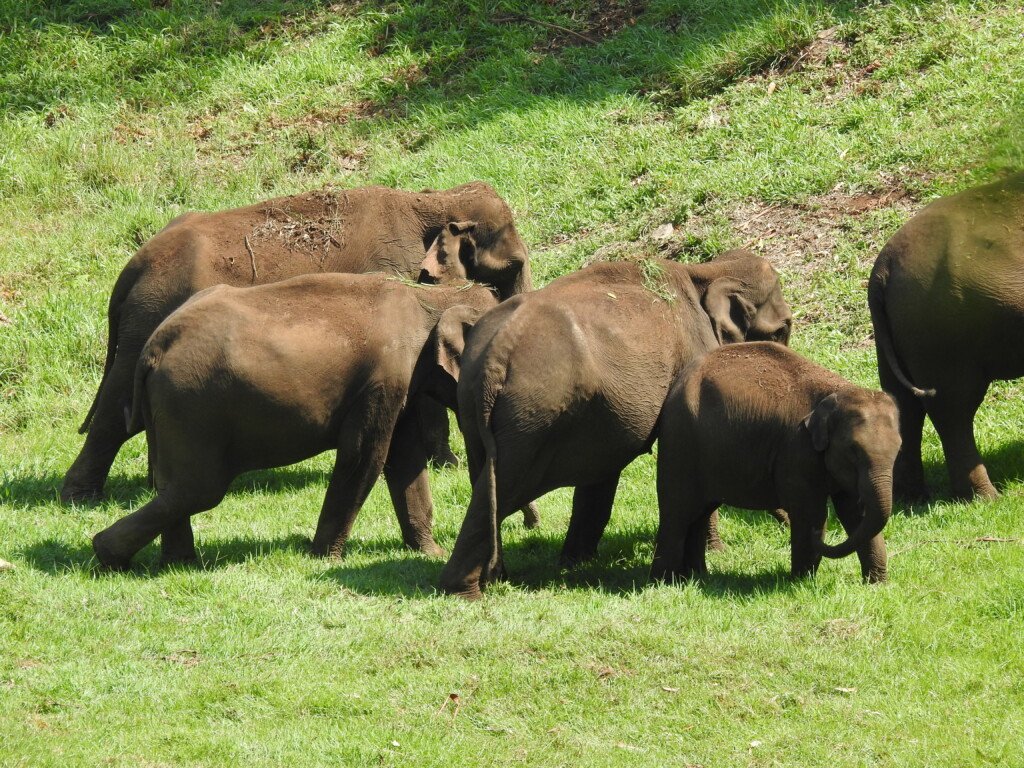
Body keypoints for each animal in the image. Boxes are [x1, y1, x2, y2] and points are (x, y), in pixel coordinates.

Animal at [63, 182, 532, 503]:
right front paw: (447, 465)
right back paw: (82, 497)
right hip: (148, 317)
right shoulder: (392, 269)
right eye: (514, 265)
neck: (429, 201)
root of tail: (133, 267)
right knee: (116, 406)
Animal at [91, 273, 508, 570]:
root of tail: (156, 343)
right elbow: (364, 457)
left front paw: (428, 552)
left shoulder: (399, 384)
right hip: (192, 404)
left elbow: (405, 460)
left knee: (174, 486)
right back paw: (108, 555)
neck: (430, 298)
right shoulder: (382, 379)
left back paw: (176, 563)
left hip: (171, 408)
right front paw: (324, 559)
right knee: (199, 488)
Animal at [439, 251, 793, 598]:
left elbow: (601, 472)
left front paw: (576, 563)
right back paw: (466, 591)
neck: (705, 270)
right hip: (532, 413)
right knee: (503, 484)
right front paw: (717, 552)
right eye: (781, 331)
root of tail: (499, 349)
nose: (783, 526)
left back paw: (496, 577)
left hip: (476, 406)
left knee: (486, 480)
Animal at [654, 342, 900, 584]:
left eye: (898, 449)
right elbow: (811, 513)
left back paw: (697, 578)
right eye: (853, 450)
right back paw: (665, 582)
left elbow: (855, 513)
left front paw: (877, 585)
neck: (837, 391)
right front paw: (801, 583)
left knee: (700, 514)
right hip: (680, 443)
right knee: (677, 512)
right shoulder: (797, 450)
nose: (821, 537)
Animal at [869, 172, 1024, 502]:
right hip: (942, 333)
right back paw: (986, 498)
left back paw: (911, 497)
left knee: (905, 403)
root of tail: (883, 268)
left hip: (899, 332)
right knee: (952, 410)